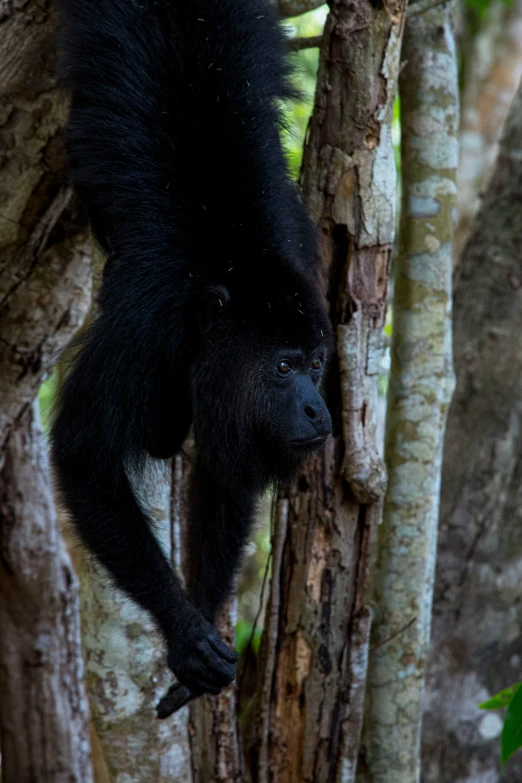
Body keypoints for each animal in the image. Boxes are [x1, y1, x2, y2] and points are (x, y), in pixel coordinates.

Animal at [52, 0, 334, 716]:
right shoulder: (145, 326)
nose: (319, 412)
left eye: (318, 364)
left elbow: (226, 472)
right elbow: (85, 453)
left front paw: (202, 616)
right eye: (283, 368)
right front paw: (183, 632)